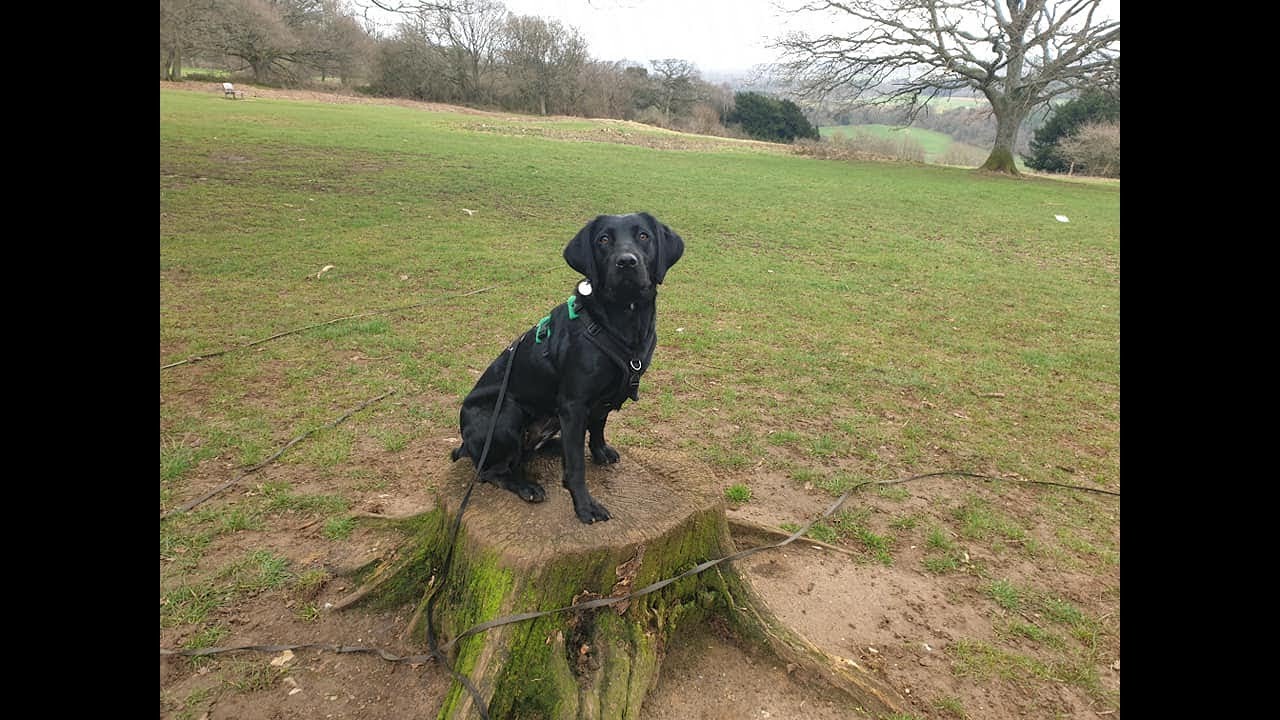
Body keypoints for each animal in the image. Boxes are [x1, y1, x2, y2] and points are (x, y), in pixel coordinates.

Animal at [455, 211, 686, 520]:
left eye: (643, 236)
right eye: (604, 240)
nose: (626, 261)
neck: (622, 322)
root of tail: (465, 444)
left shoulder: (601, 400)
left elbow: (598, 427)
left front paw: (599, 453)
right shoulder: (574, 405)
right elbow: (576, 466)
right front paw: (585, 506)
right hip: (504, 414)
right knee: (490, 471)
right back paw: (525, 485)